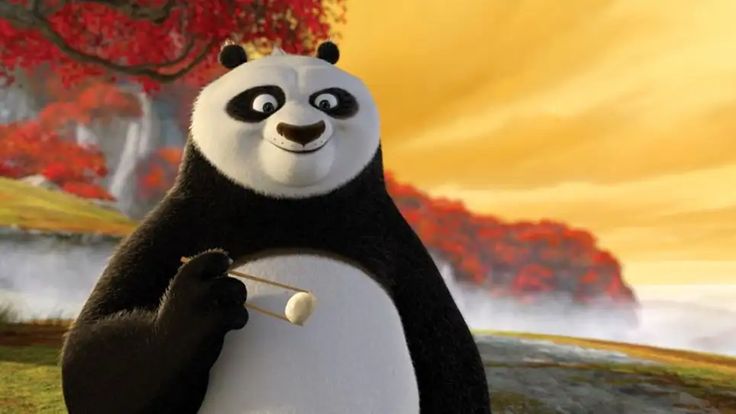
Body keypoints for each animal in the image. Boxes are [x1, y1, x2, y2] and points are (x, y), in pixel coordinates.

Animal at [60, 42, 491, 414]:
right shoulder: (180, 224)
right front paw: (207, 298)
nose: (303, 132)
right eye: (263, 103)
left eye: (328, 101)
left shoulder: (392, 245)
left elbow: (451, 356)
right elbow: (93, 364)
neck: (291, 206)